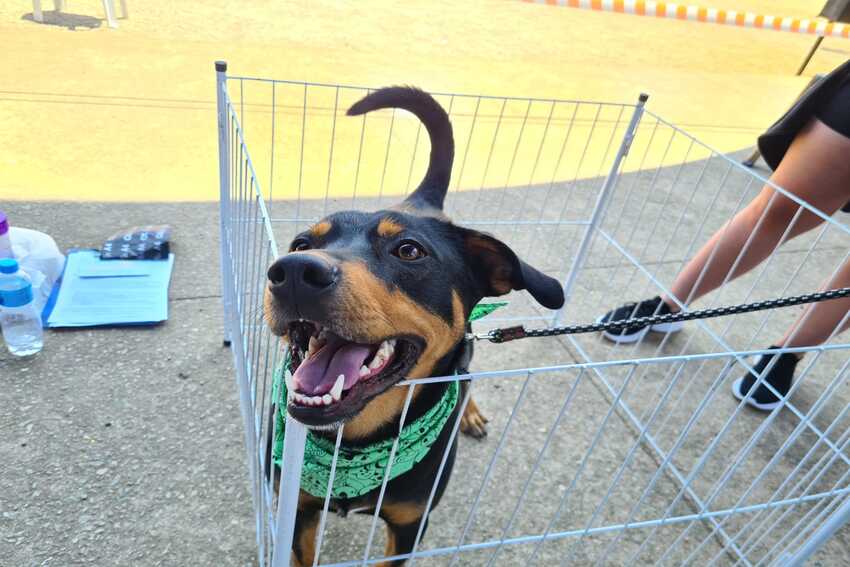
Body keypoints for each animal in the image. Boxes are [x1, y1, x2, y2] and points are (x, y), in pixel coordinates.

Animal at [262, 86, 560, 564]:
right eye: (301, 243)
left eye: (409, 250)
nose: (291, 272)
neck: (353, 444)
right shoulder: (297, 511)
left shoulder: (409, 525)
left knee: (467, 374)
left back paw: (469, 412)